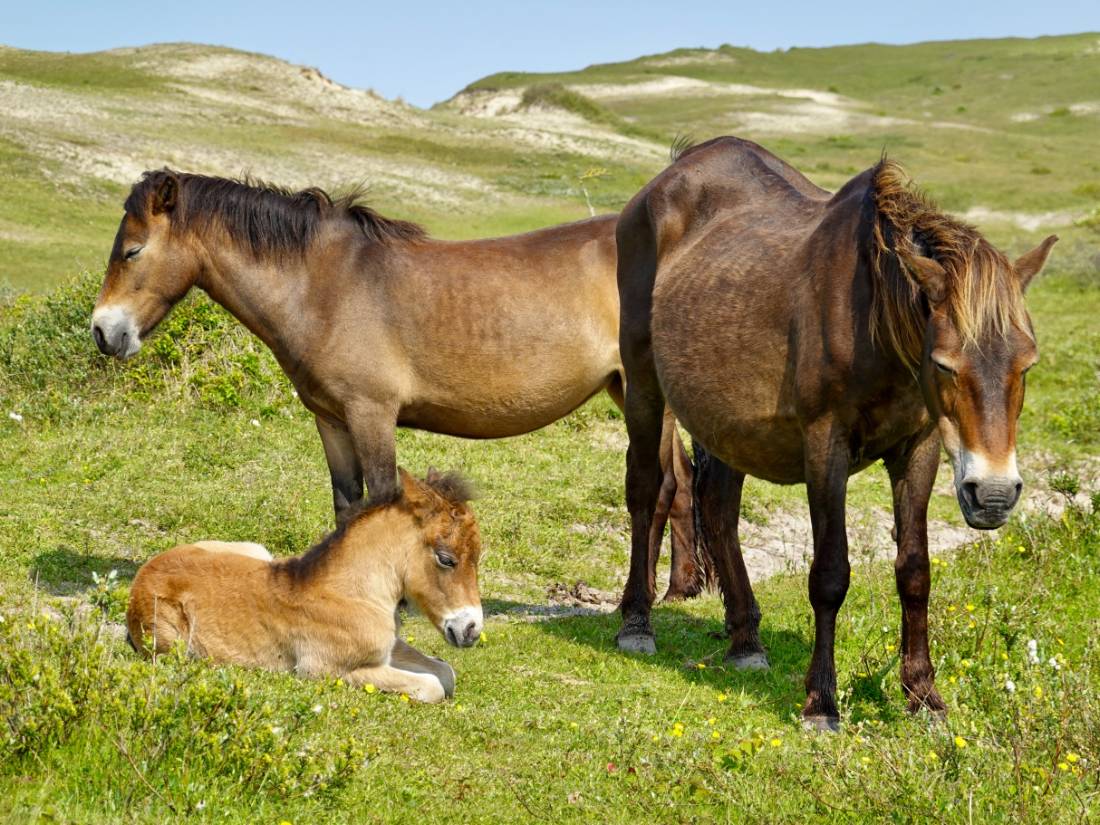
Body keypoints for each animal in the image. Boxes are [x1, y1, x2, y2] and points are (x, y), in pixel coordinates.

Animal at [88, 171, 704, 602]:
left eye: (133, 250)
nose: (103, 331)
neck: (324, 285)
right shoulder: (332, 418)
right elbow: (347, 505)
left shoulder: (372, 413)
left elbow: (382, 499)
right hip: (634, 393)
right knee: (679, 484)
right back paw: (678, 590)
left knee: (662, 486)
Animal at [125, 470, 481, 704]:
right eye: (446, 559)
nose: (471, 630)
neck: (350, 593)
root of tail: (142, 576)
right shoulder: (323, 670)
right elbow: (432, 685)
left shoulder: (389, 647)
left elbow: (445, 672)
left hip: (257, 551)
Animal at [620, 135, 1056, 730]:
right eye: (945, 365)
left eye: (1026, 366)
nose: (992, 495)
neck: (873, 319)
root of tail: (669, 174)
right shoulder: (825, 448)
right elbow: (829, 574)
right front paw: (821, 702)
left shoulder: (918, 450)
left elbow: (914, 572)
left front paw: (924, 695)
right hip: (644, 388)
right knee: (648, 489)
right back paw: (636, 623)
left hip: (723, 418)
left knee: (719, 509)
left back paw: (745, 639)